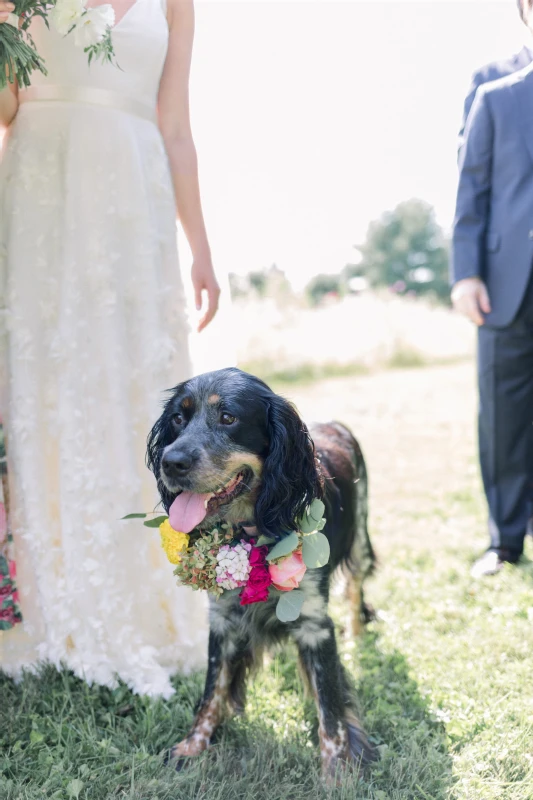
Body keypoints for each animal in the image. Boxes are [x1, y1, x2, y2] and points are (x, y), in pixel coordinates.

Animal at [148, 368, 376, 776]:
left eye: (228, 417)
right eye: (177, 418)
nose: (171, 462)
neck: (252, 531)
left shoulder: (315, 624)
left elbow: (330, 706)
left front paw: (336, 770)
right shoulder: (223, 618)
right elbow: (212, 691)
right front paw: (192, 746)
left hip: (361, 543)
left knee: (354, 592)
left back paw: (356, 637)